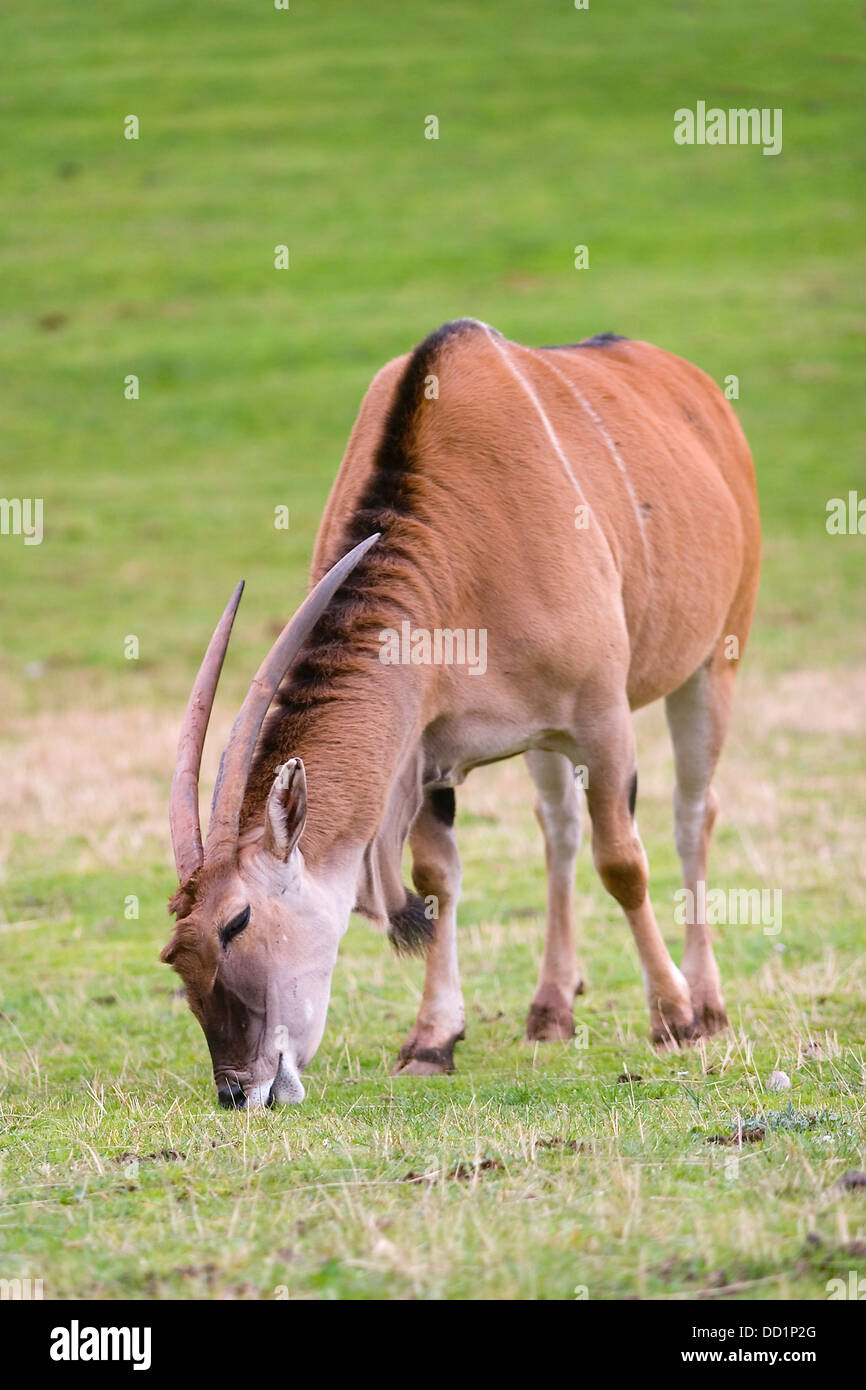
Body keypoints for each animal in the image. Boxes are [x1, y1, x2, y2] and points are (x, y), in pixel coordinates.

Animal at [162, 319, 756, 1112]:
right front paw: (431, 1040)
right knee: (559, 832)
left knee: (692, 815)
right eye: (176, 952)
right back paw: (551, 1008)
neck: (461, 547)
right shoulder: (427, 749)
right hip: (546, 743)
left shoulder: (603, 721)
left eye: (237, 921)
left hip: (710, 668)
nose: (238, 1089)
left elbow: (624, 863)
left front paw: (674, 1015)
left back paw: (707, 1000)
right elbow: (440, 879)